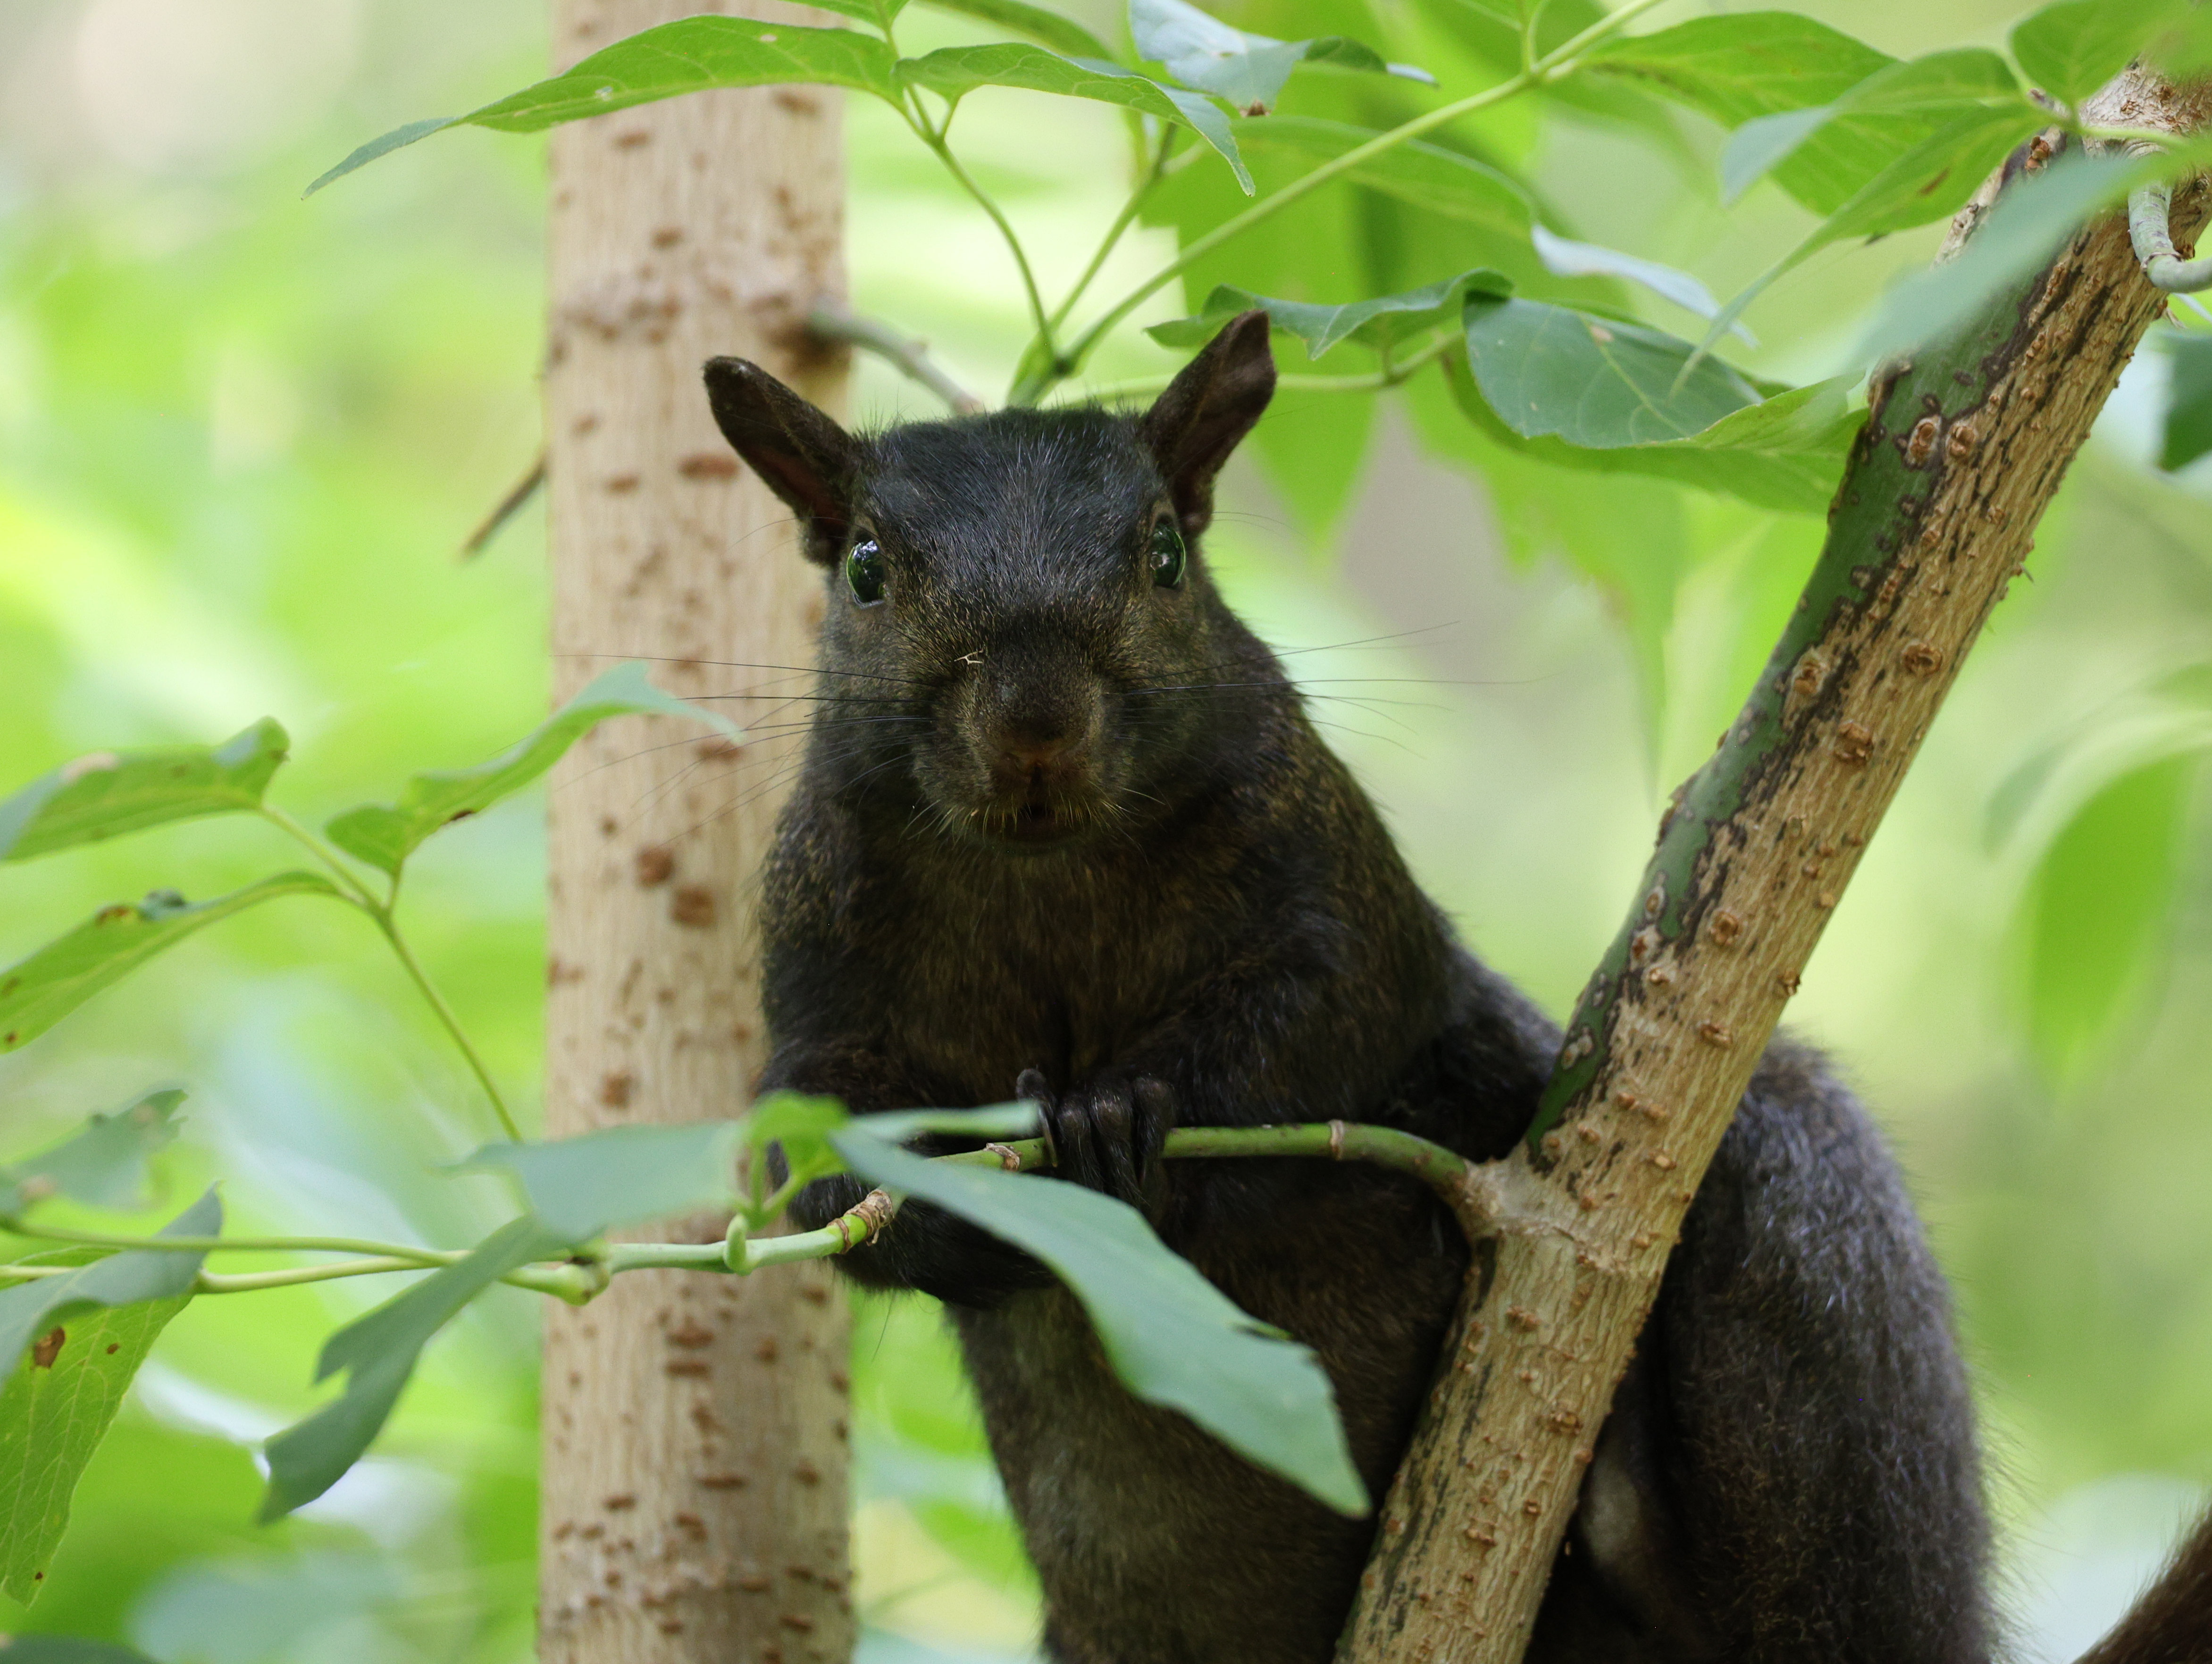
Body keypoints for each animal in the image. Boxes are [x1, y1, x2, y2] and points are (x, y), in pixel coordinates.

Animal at [701, 313, 2212, 1664]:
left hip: (1805, 1278)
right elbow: (803, 1167)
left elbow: (1328, 1014)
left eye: (1166, 552)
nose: (1033, 719)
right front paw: (955, 1184)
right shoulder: (813, 962)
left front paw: (1120, 1107)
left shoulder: (1338, 885)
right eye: (867, 568)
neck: (1047, 870)